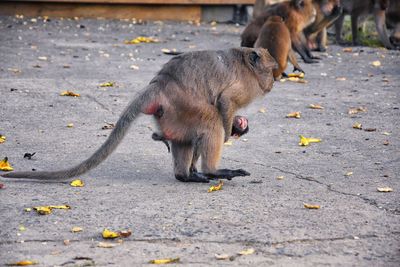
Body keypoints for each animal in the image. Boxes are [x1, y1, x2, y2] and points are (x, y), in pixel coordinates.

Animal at [0, 47, 278, 183]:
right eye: (271, 71)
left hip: (174, 112)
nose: (273, 83)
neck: (245, 64)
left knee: (183, 138)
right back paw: (212, 171)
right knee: (210, 120)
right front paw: (229, 131)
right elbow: (224, 103)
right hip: (185, 103)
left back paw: (186, 176)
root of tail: (159, 84)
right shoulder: (243, 88)